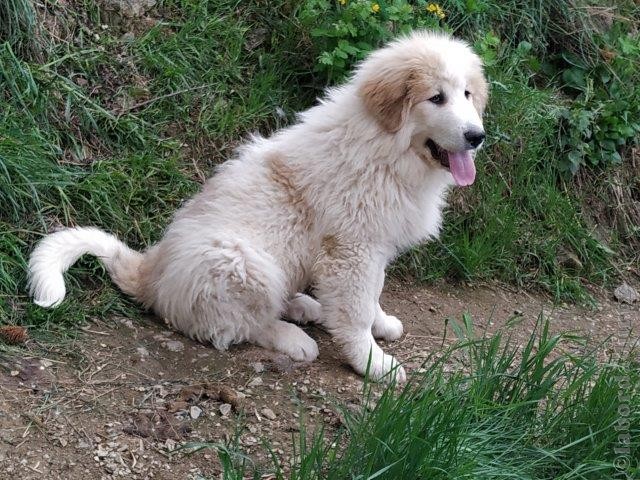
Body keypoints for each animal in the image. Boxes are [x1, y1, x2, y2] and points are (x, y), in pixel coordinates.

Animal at [28, 31, 484, 382]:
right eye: (436, 98)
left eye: (466, 94)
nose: (477, 136)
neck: (387, 147)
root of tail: (149, 273)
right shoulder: (353, 249)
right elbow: (355, 312)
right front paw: (374, 364)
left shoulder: (373, 246)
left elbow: (372, 296)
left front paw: (382, 323)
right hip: (243, 262)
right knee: (231, 327)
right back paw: (294, 337)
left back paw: (304, 306)